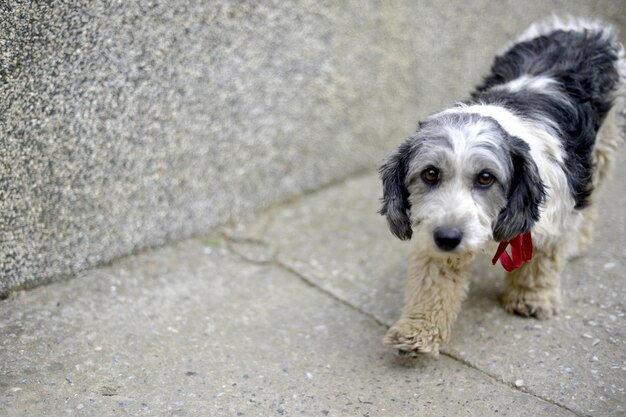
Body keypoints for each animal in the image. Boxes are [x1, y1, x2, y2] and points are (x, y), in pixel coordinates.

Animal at [378, 17, 620, 354]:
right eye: (430, 174)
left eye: (485, 177)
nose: (448, 237)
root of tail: (581, 26)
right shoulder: (435, 233)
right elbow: (432, 283)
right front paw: (418, 330)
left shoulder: (557, 211)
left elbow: (543, 262)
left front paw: (532, 299)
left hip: (603, 148)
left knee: (592, 198)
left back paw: (580, 240)